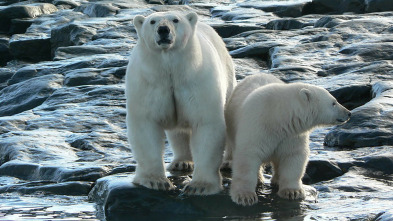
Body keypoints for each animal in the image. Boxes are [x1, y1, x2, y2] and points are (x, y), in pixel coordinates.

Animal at [125, 11, 234, 195]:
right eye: (152, 21)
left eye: (175, 20)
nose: (163, 29)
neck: (171, 70)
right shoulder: (148, 83)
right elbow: (146, 126)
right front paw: (155, 181)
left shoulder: (198, 80)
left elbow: (206, 124)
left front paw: (200, 186)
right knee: (178, 132)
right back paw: (182, 162)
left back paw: (229, 162)